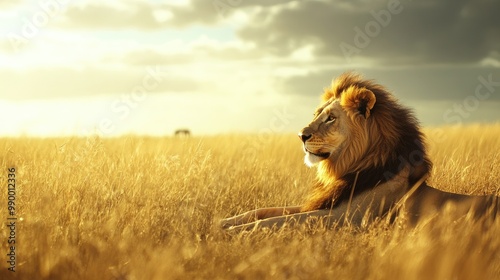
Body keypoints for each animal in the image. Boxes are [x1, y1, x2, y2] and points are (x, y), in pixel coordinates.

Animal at [221, 72, 498, 232]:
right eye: (316, 114)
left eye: (331, 118)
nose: (301, 135)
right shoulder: (326, 202)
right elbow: (268, 211)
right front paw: (223, 222)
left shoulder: (345, 218)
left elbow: (279, 220)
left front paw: (234, 232)